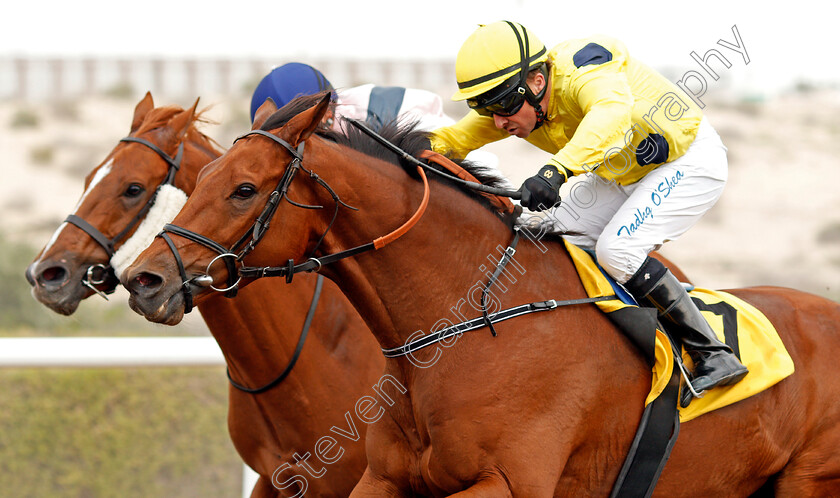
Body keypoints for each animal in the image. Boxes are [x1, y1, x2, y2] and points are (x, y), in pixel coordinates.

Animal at [123, 94, 840, 498]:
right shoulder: (382, 479)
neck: (463, 329)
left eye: (244, 189)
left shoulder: (509, 484)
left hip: (810, 482)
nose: (145, 280)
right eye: (199, 181)